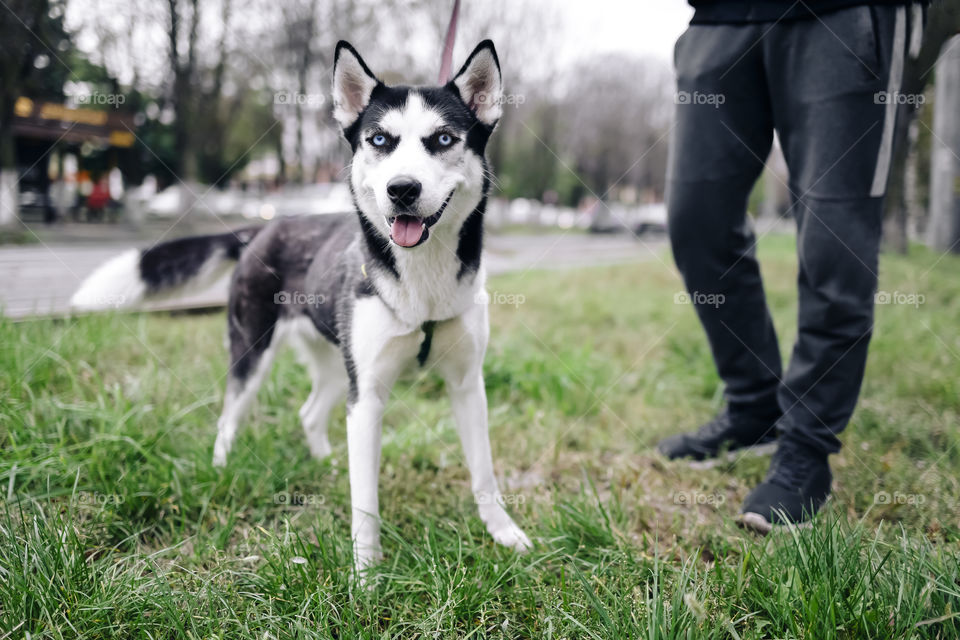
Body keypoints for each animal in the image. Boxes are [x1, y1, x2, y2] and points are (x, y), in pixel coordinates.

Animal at [72, 41, 536, 576]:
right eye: (380, 139)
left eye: (443, 139)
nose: (402, 189)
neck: (422, 279)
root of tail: (261, 229)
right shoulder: (367, 396)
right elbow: (365, 501)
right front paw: (367, 575)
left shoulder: (466, 385)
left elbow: (484, 473)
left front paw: (503, 533)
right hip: (253, 354)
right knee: (229, 416)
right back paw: (221, 468)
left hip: (337, 367)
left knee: (310, 413)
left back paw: (328, 461)